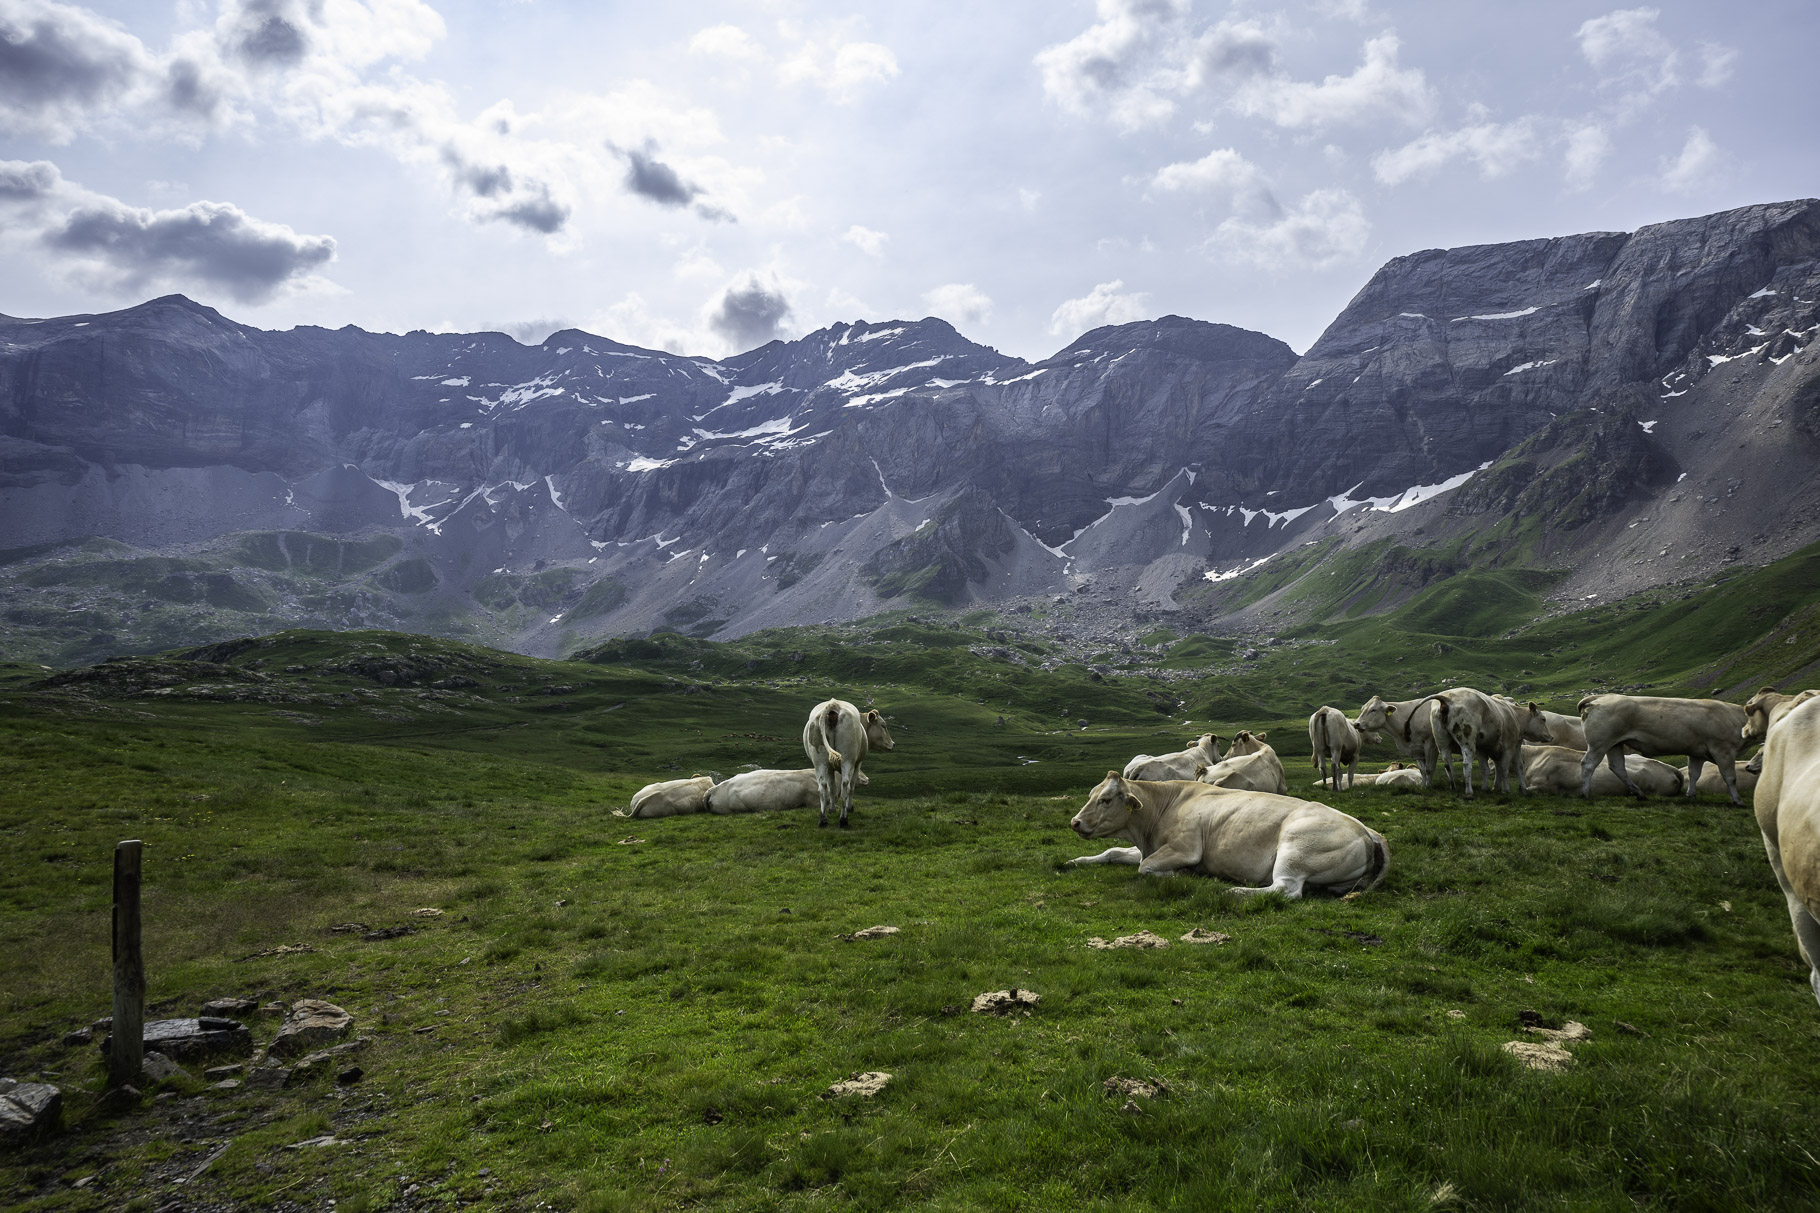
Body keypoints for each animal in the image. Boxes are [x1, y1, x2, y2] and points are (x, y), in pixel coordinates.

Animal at [808, 695, 899, 826]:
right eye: (883, 725)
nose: (893, 744)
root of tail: (833, 704)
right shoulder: (857, 763)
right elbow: (852, 786)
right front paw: (849, 807)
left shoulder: (829, 767)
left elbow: (832, 787)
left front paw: (832, 809)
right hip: (848, 760)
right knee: (846, 785)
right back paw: (843, 818)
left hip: (819, 762)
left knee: (822, 787)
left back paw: (823, 819)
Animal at [1062, 768, 1383, 892]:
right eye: (1091, 794)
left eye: (1105, 800)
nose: (1075, 822)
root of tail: (1368, 831)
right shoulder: (1148, 846)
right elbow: (1114, 850)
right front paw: (1075, 861)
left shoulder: (1185, 849)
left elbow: (1146, 867)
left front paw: (1181, 874)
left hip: (1295, 850)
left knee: (1284, 889)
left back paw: (1233, 891)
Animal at [1579, 688, 1747, 801]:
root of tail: (1602, 697)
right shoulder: (1723, 750)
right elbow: (1730, 777)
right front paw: (1737, 800)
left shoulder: (1697, 753)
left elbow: (1694, 774)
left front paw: (1690, 794)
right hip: (1599, 744)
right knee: (1588, 764)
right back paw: (1585, 793)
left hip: (1615, 744)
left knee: (1617, 767)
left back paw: (1639, 793)